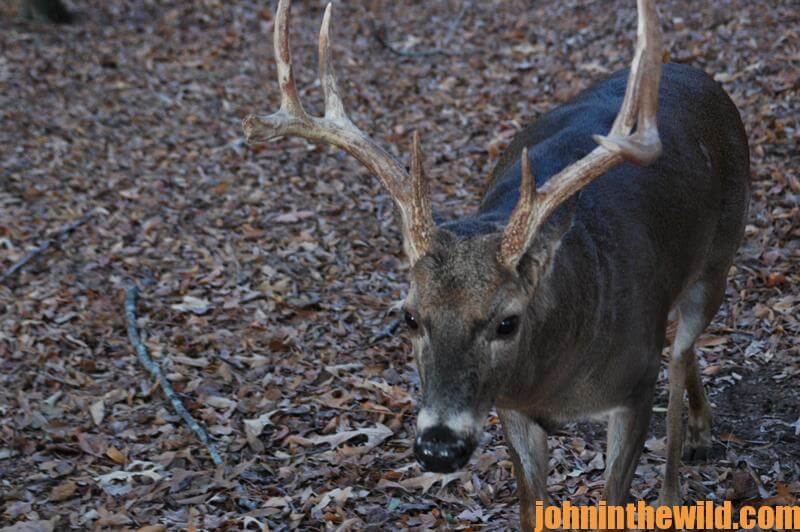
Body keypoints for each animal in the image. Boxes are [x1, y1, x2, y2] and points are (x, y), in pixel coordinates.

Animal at [243, 0, 750, 529]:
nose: (439, 448)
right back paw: (701, 429)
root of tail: (698, 75)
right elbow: (531, 506)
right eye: (409, 316)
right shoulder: (511, 406)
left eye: (507, 321)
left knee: (680, 352)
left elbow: (614, 496)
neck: (556, 382)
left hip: (719, 260)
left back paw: (675, 486)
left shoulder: (635, 386)